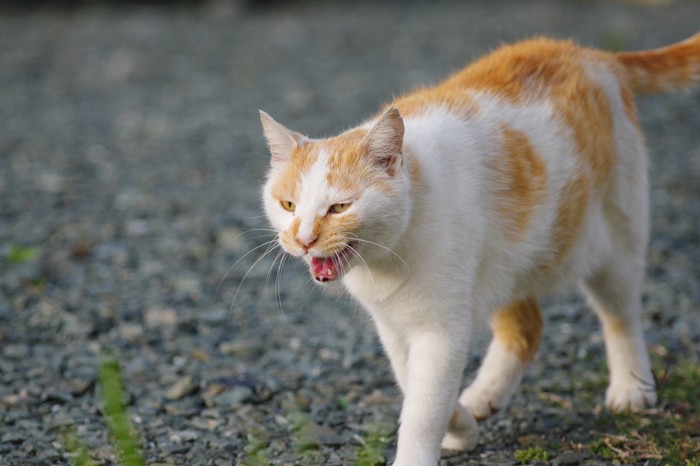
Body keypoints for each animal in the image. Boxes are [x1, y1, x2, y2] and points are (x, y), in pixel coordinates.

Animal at [258, 33, 700, 466]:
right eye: (289, 205)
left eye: (339, 207)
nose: (304, 238)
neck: (386, 259)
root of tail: (590, 54)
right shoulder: (394, 326)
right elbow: (413, 386)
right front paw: (462, 426)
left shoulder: (440, 330)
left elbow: (422, 409)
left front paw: (425, 445)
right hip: (508, 265)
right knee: (527, 327)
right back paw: (483, 396)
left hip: (617, 240)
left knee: (621, 316)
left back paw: (632, 388)